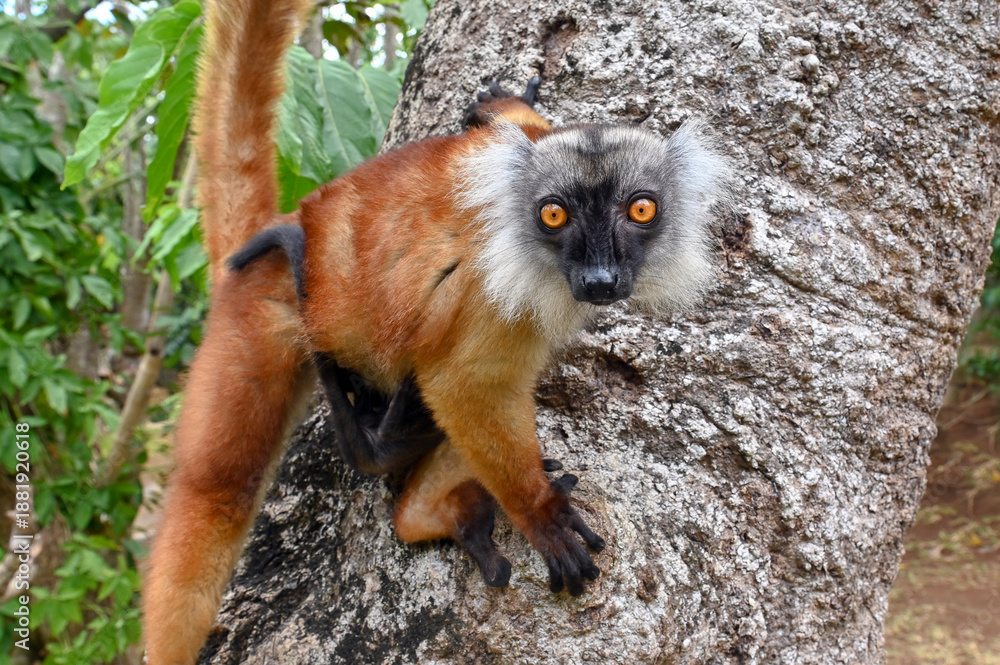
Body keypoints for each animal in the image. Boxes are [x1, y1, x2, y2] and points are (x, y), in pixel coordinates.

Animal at [142, 0, 732, 662]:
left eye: (641, 210)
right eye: (554, 215)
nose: (600, 279)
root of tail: (294, 226)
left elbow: (506, 124)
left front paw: (504, 100)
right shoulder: (492, 297)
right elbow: (465, 385)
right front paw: (541, 515)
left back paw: (426, 510)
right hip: (262, 314)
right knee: (215, 491)